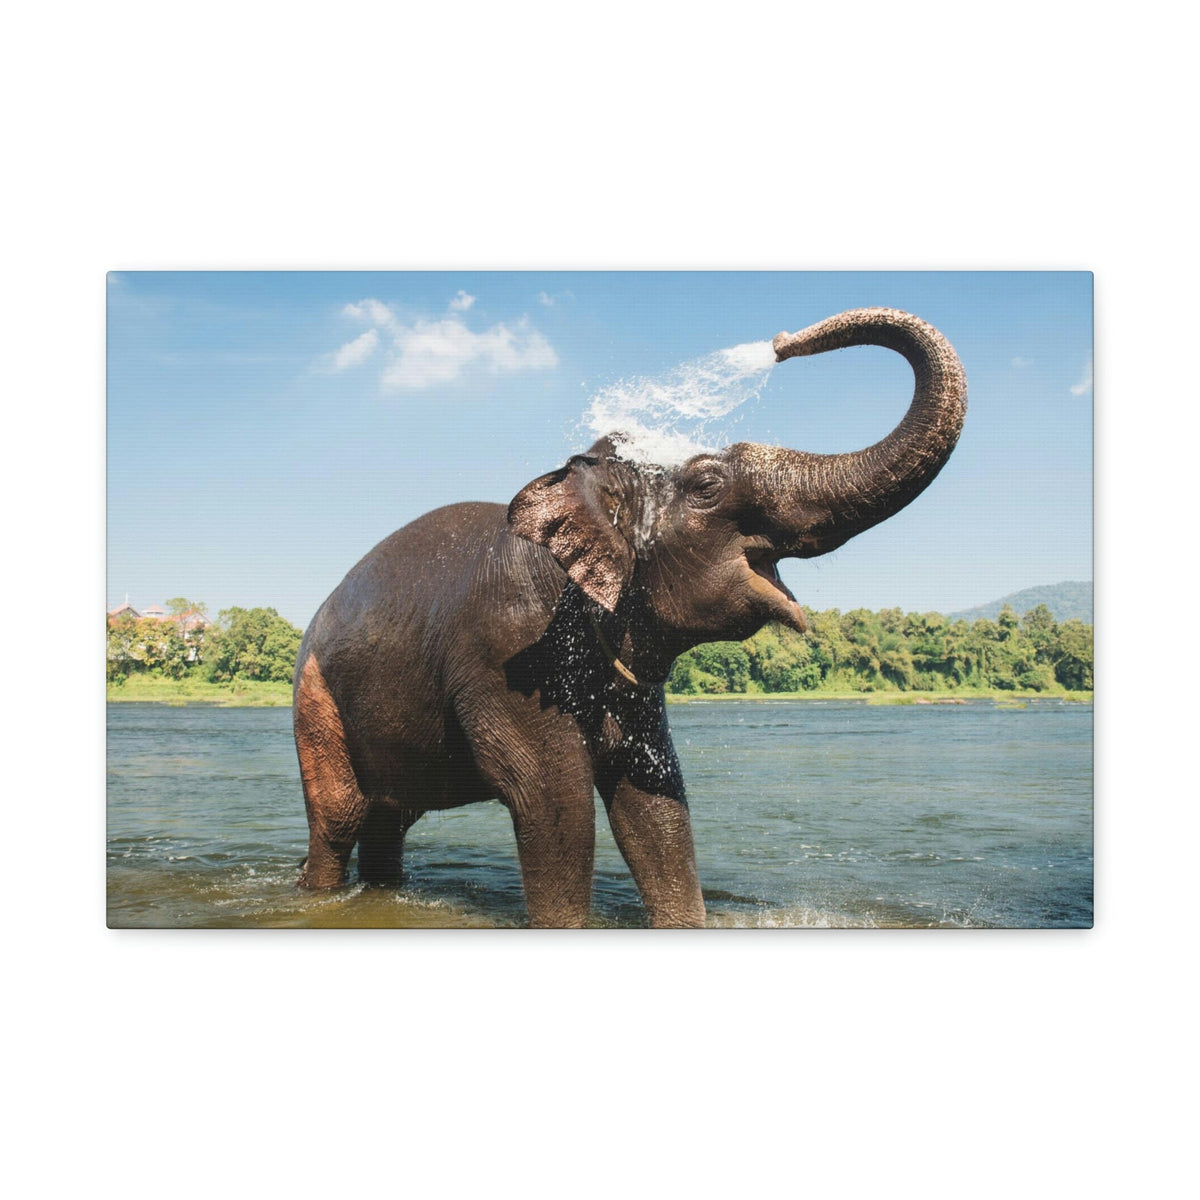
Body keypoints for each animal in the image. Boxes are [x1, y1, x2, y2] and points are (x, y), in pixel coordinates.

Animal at [292, 307, 967, 927]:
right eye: (707, 484)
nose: (780, 341)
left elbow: (653, 802)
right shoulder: (507, 653)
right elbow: (554, 803)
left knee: (388, 819)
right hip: (314, 700)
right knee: (340, 818)